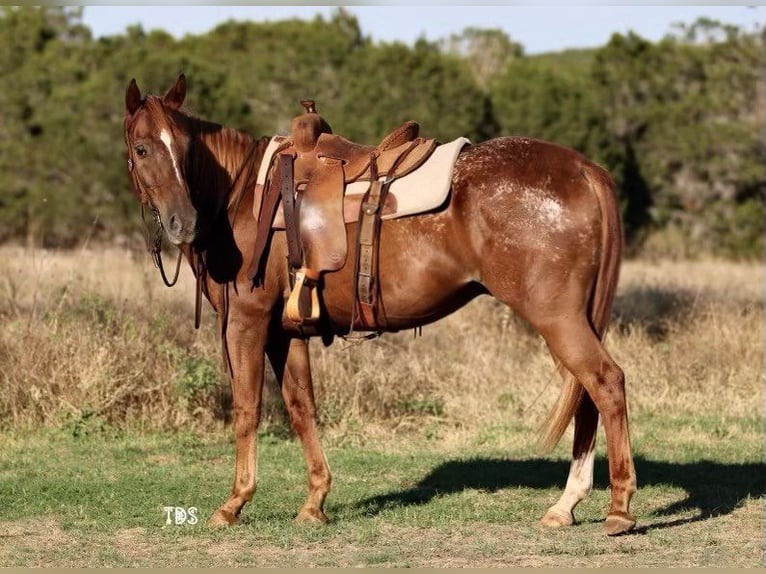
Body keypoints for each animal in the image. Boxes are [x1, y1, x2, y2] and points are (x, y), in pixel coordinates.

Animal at [123, 74, 640, 536]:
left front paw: (233, 503)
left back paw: (617, 507)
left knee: (606, 383)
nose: (183, 222)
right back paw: (566, 505)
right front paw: (315, 502)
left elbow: (247, 408)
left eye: (184, 148)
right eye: (143, 148)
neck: (240, 198)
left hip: (558, 319)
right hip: (576, 320)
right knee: (588, 395)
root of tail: (584, 169)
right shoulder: (286, 331)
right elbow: (301, 407)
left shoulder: (247, 323)